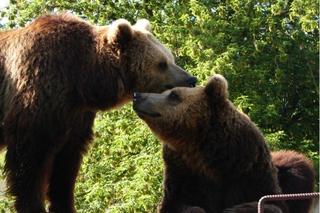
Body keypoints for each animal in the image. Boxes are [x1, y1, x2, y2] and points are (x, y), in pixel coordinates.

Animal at [0, 13, 198, 213]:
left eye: (170, 58)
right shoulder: (37, 94)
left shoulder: (75, 116)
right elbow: (30, 161)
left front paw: (65, 204)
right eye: (162, 64)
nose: (191, 79)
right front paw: (33, 205)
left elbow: (66, 164)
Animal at [132, 74, 316, 213]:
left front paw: (235, 209)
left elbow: (270, 203)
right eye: (167, 92)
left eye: (174, 95)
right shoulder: (181, 170)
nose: (137, 95)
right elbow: (177, 204)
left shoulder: (249, 168)